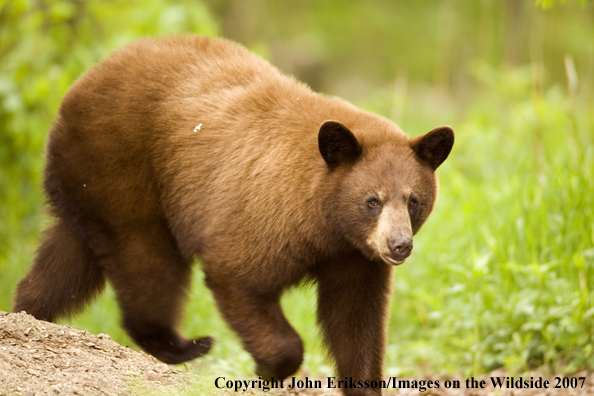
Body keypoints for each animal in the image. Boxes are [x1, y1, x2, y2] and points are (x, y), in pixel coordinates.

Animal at [15, 35, 454, 394]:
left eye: (413, 200)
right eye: (372, 200)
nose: (399, 245)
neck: (325, 221)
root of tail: (82, 82)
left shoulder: (354, 258)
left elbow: (355, 321)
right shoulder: (268, 212)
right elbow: (238, 274)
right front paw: (271, 366)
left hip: (87, 187)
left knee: (69, 258)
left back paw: (29, 312)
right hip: (120, 165)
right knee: (144, 257)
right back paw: (184, 345)